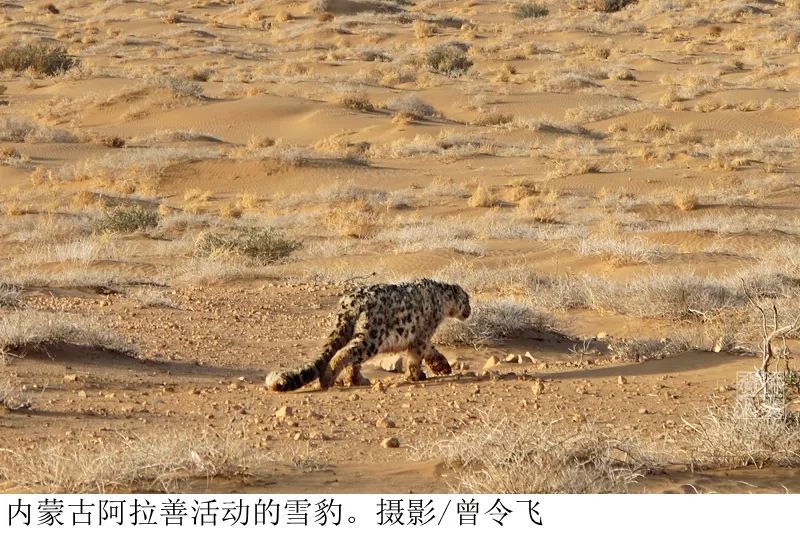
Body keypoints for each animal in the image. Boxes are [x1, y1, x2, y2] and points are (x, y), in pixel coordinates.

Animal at [266, 278, 472, 390]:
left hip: (357, 333)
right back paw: (328, 378)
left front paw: (442, 367)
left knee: (352, 358)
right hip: (372, 337)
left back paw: (358, 379)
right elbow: (416, 356)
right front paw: (416, 376)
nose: (469, 311)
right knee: (345, 353)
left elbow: (431, 350)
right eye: (467, 300)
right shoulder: (422, 334)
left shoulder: (422, 337)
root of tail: (349, 303)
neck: (442, 301)